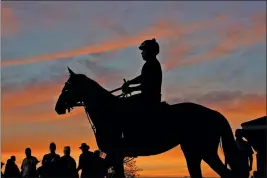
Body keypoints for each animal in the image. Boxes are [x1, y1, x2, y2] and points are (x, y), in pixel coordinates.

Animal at [54, 67, 247, 178]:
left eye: (68, 87)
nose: (58, 107)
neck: (108, 112)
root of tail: (213, 113)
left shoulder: (114, 154)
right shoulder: (117, 156)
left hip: (205, 152)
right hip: (192, 152)